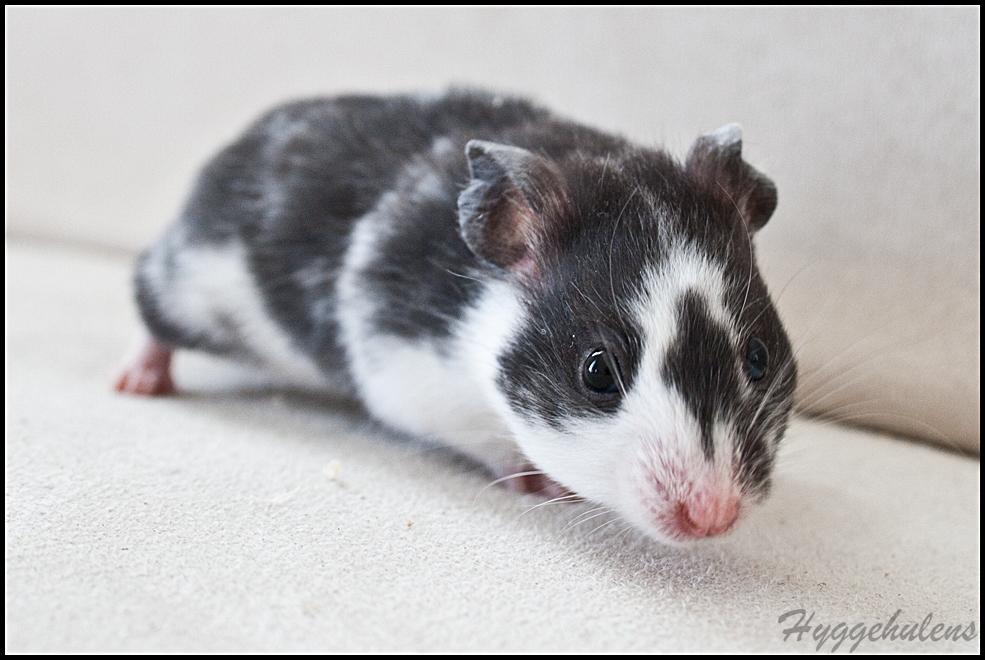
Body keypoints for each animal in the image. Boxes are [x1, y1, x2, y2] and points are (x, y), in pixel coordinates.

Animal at [116, 90, 797, 544]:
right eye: (598, 373)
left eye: (758, 359)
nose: (714, 519)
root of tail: (232, 148)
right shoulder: (409, 374)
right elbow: (493, 446)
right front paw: (547, 486)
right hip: (190, 285)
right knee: (150, 303)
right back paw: (137, 383)